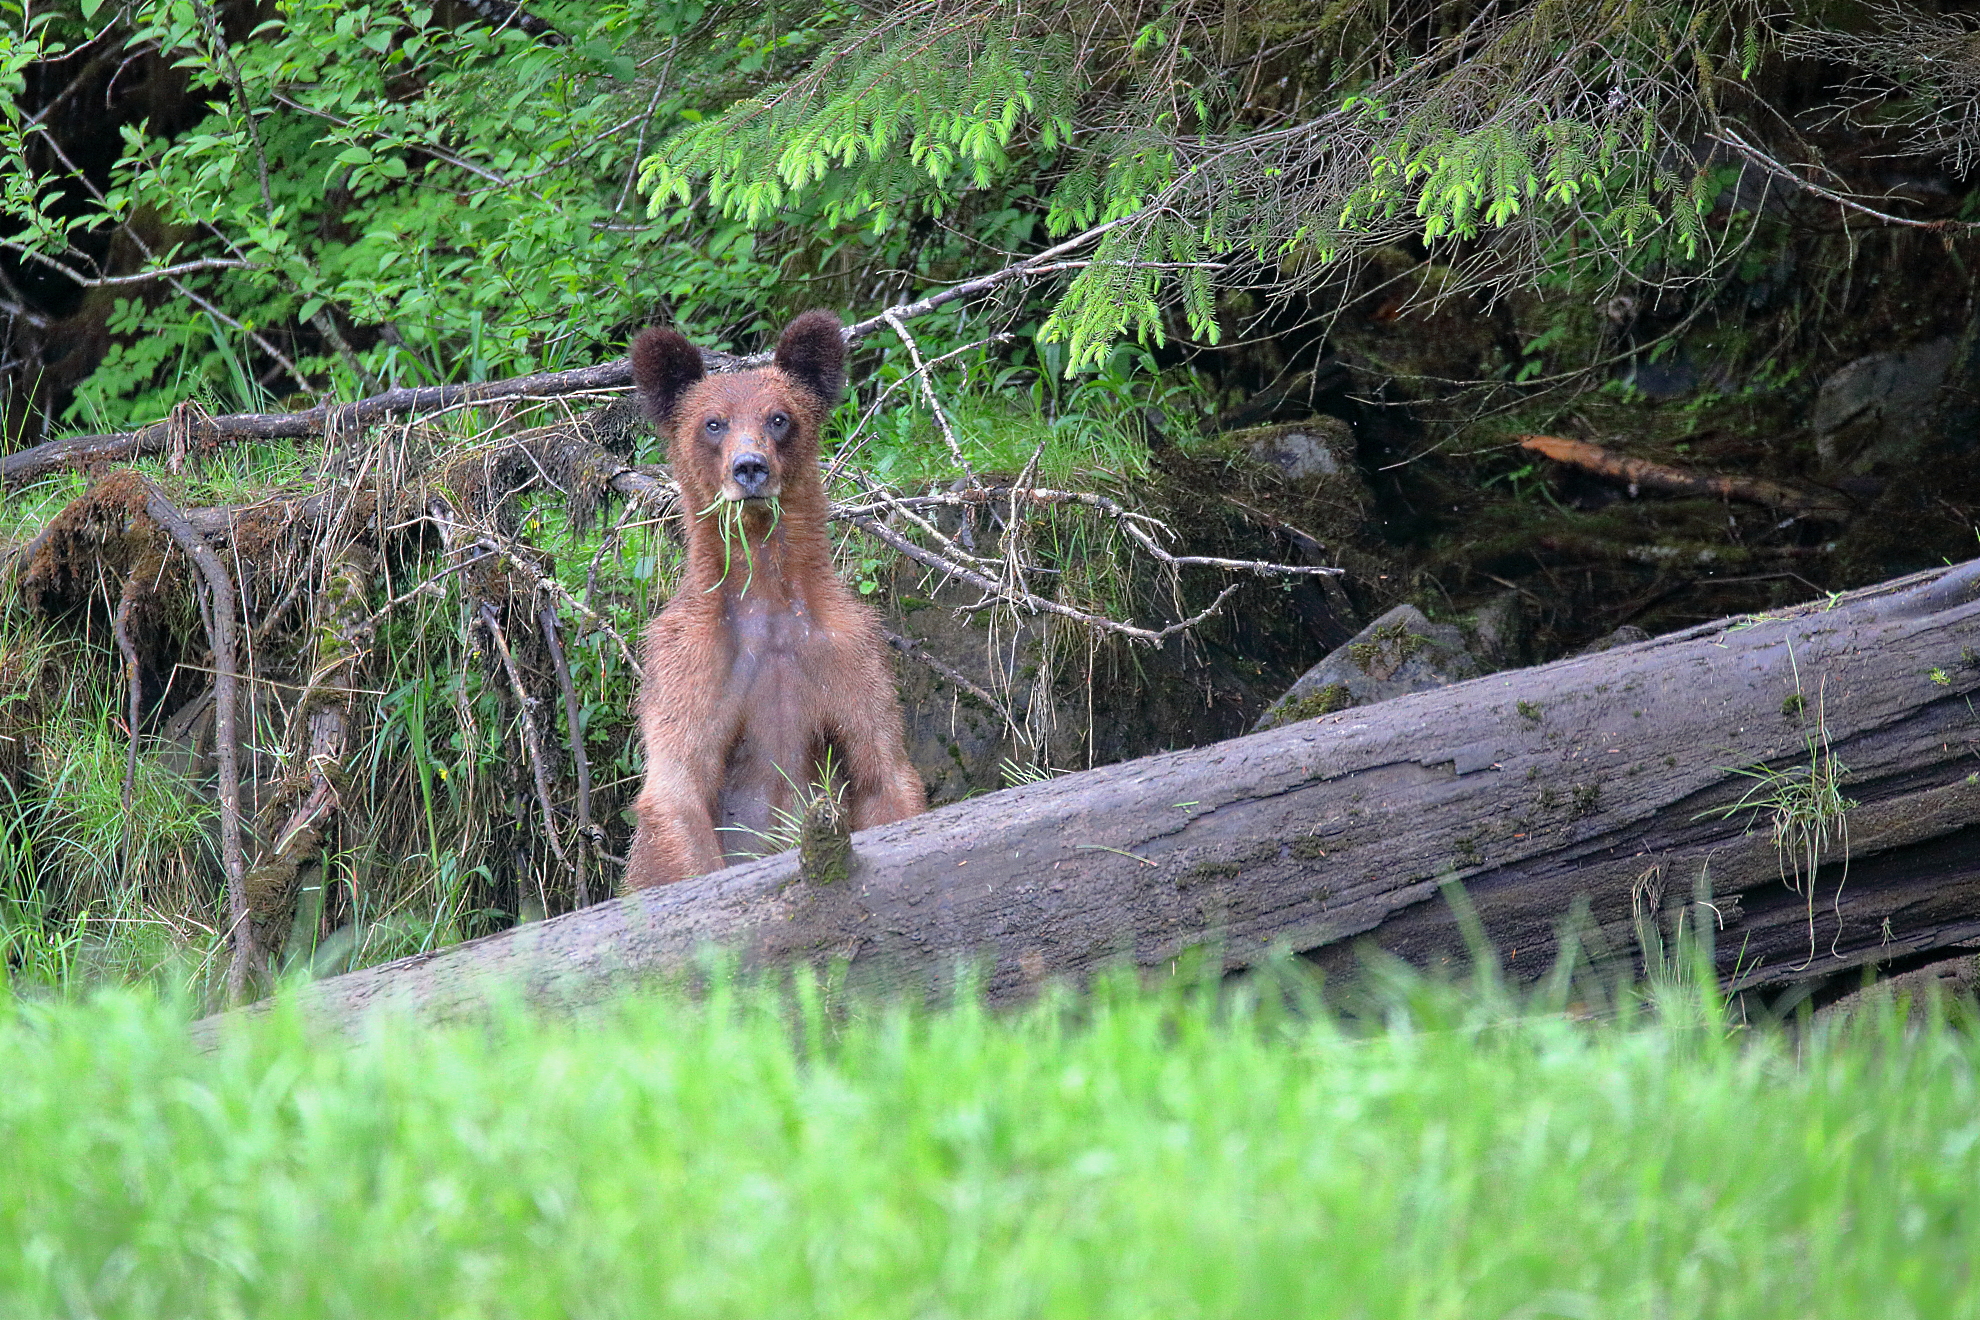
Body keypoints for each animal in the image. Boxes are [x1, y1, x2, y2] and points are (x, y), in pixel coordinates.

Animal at [622, 309, 927, 888]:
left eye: (779, 417)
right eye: (713, 422)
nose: (749, 467)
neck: (766, 602)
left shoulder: (848, 651)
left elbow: (883, 772)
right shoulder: (690, 662)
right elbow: (678, 792)